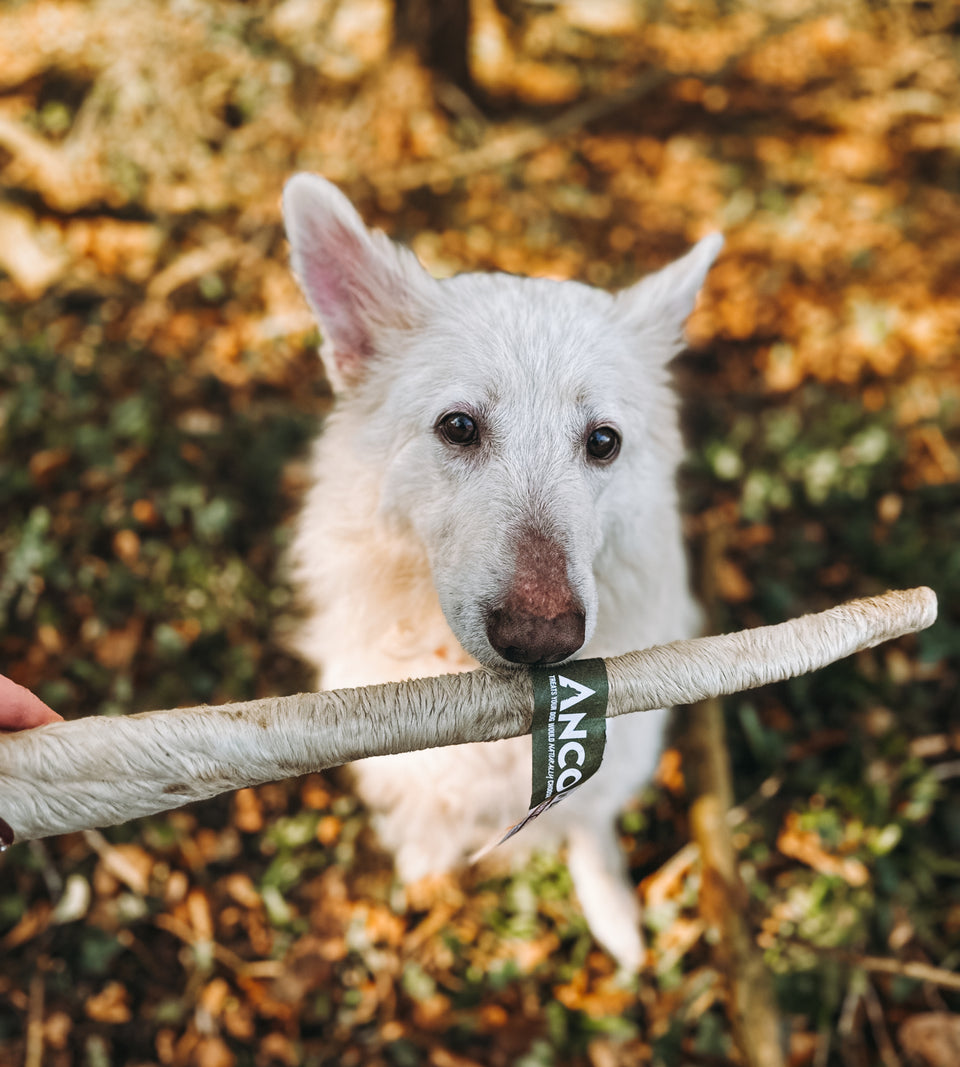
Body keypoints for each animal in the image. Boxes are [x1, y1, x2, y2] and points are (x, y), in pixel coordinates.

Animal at [285, 172, 721, 968]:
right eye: (458, 427)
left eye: (603, 442)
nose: (542, 639)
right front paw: (424, 863)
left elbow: (589, 825)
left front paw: (613, 910)